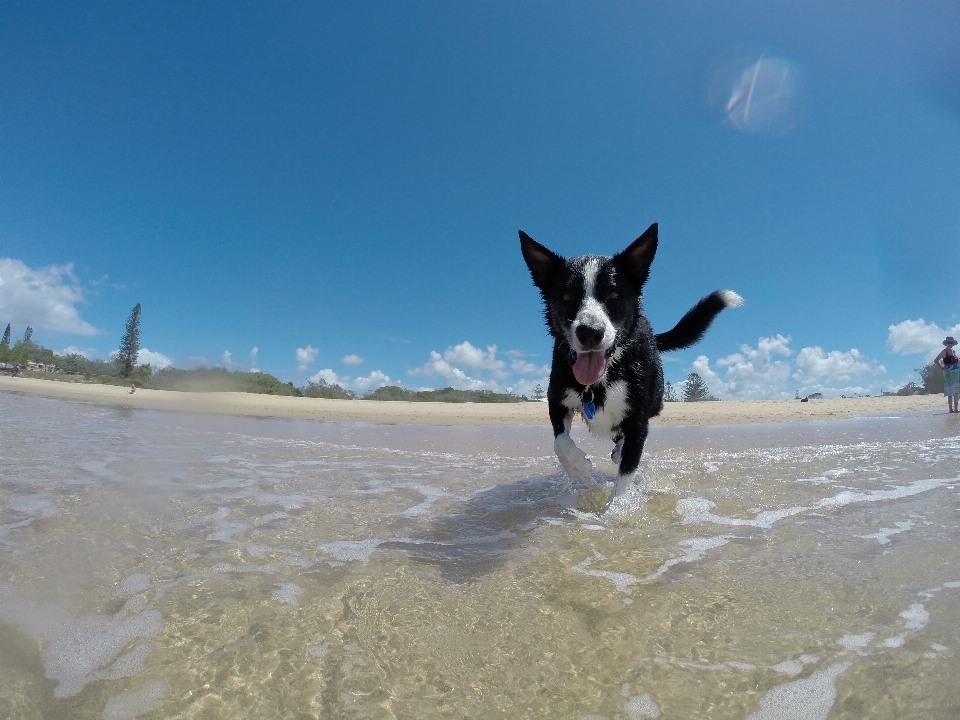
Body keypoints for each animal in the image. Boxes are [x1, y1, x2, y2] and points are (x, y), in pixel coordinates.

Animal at [520, 222, 740, 498]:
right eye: (567, 296)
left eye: (613, 294)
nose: (590, 333)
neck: (603, 378)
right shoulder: (557, 402)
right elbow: (560, 441)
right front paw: (579, 468)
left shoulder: (637, 422)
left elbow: (624, 478)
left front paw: (617, 507)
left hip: (655, 398)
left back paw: (619, 451)